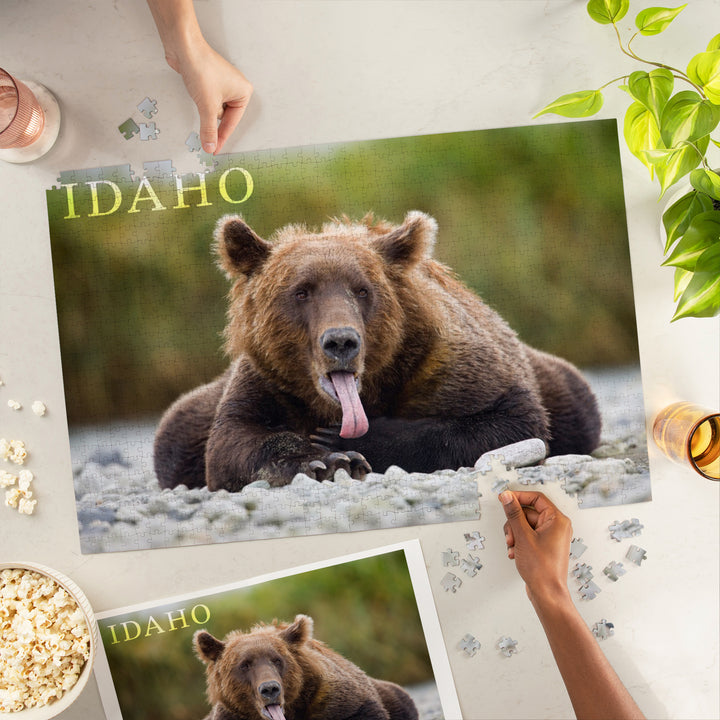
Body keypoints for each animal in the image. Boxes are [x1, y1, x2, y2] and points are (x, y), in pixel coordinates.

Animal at [154, 211, 601, 491]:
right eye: (300, 292)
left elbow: (510, 418)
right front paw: (321, 460)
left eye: (362, 289)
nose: (341, 341)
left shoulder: (446, 365)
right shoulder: (269, 380)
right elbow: (233, 441)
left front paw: (343, 444)